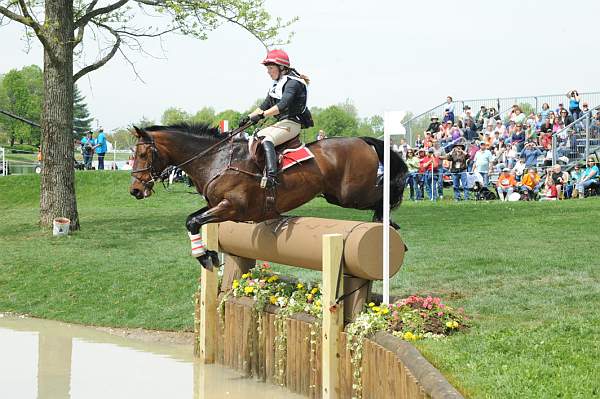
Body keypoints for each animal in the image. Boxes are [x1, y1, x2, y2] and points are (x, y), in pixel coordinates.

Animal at [128, 124, 406, 268]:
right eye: (133, 154)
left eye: (142, 154)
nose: (135, 191)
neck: (216, 159)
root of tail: (362, 139)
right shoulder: (215, 205)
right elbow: (190, 220)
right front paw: (207, 254)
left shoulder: (232, 207)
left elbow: (192, 221)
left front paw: (206, 257)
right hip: (336, 195)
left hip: (350, 193)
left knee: (385, 192)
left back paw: (390, 223)